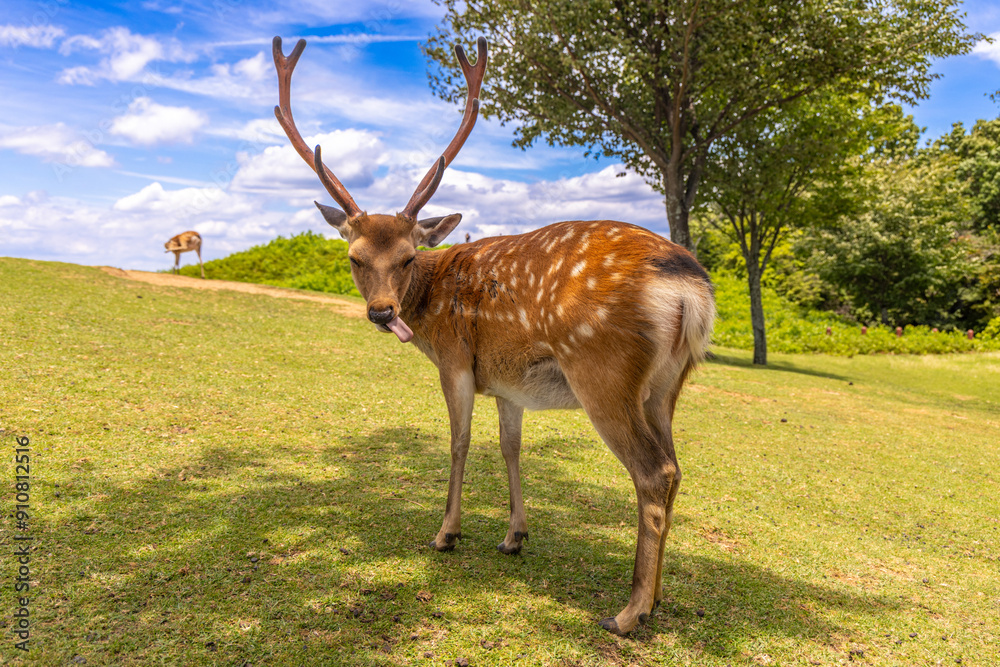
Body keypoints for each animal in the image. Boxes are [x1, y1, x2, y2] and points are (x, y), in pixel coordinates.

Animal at [272, 35, 715, 636]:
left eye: (408, 255)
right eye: (354, 258)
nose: (384, 313)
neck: (430, 304)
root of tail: (689, 287)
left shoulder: (456, 360)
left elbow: (458, 442)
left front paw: (446, 533)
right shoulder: (509, 383)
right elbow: (510, 446)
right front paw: (514, 536)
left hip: (603, 372)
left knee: (654, 473)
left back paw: (628, 612)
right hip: (667, 385)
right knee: (677, 470)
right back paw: (659, 596)